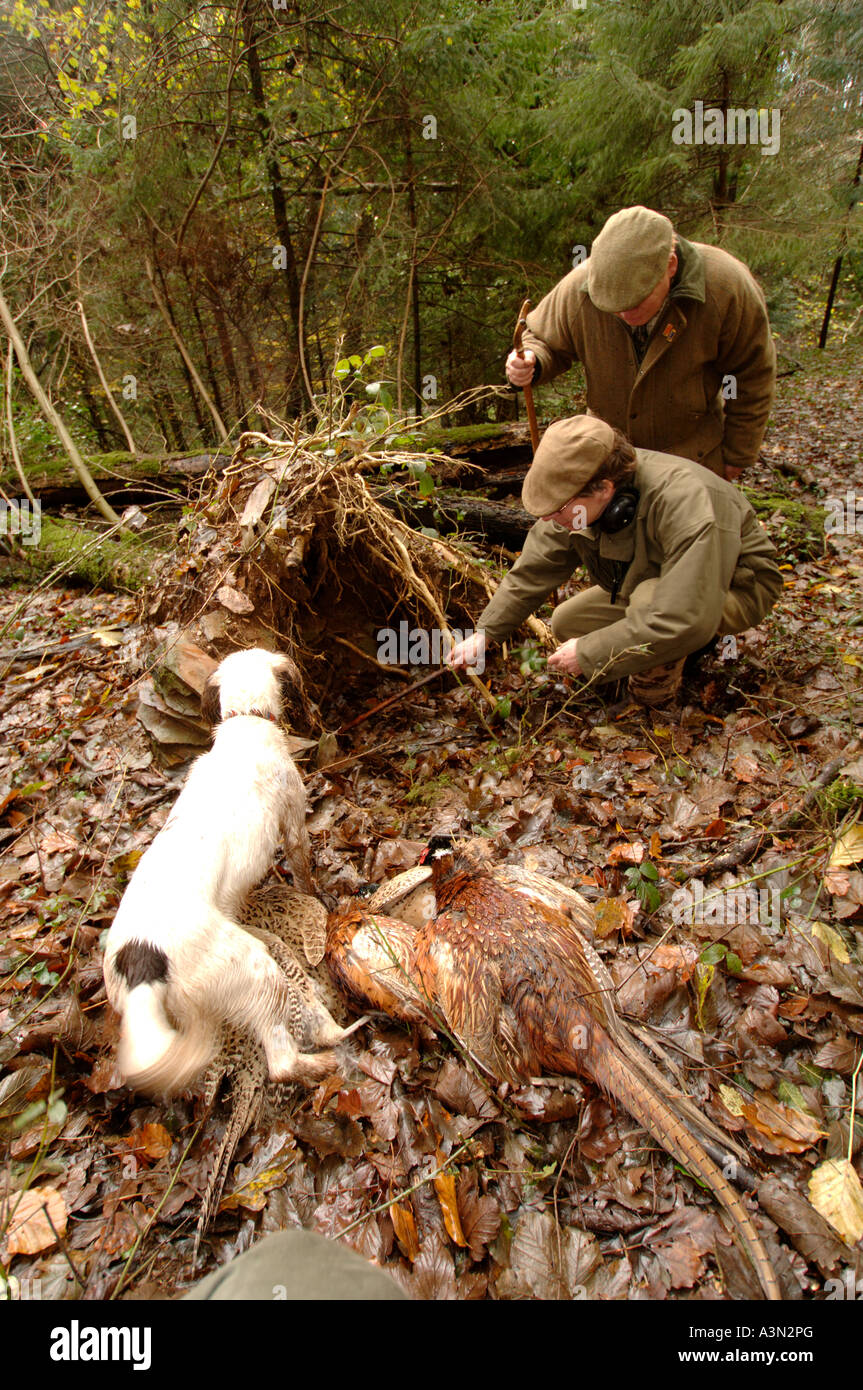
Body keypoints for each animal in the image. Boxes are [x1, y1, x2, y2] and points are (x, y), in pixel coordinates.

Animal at [102, 647, 341, 1095]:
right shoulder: (294, 822)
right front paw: (317, 897)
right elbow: (304, 872)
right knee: (280, 1061)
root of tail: (144, 955)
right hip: (256, 971)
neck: (245, 719)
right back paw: (321, 1064)